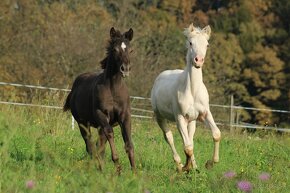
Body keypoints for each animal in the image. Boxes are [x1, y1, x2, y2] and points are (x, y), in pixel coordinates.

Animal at [63, 26, 135, 172]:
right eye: (115, 49)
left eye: (131, 50)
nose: (125, 69)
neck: (113, 89)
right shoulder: (101, 114)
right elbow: (110, 134)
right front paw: (117, 165)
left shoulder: (125, 116)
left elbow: (128, 142)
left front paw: (135, 172)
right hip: (83, 123)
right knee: (90, 145)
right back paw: (97, 167)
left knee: (99, 144)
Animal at [151, 23, 221, 172]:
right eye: (190, 43)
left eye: (207, 44)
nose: (198, 61)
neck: (192, 91)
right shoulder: (180, 118)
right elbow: (187, 147)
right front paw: (185, 167)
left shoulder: (205, 113)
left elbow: (216, 134)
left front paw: (209, 163)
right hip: (160, 117)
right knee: (169, 137)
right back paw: (179, 165)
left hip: (192, 120)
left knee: (190, 137)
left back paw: (194, 166)